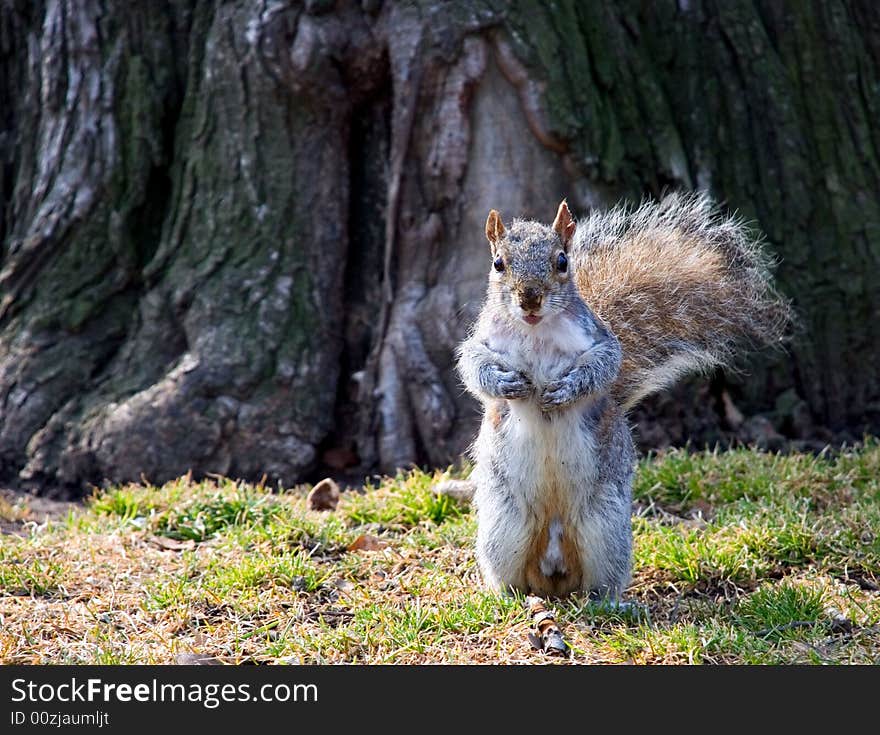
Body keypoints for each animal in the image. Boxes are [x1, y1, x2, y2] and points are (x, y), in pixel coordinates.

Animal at [454, 193, 792, 600]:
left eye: (562, 261)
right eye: (498, 263)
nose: (530, 299)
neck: (534, 331)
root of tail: (553, 568)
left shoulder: (600, 338)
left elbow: (607, 364)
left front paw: (568, 388)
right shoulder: (483, 339)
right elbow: (472, 365)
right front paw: (505, 384)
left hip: (605, 525)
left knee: (602, 580)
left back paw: (610, 603)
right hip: (505, 526)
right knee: (510, 575)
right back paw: (511, 597)